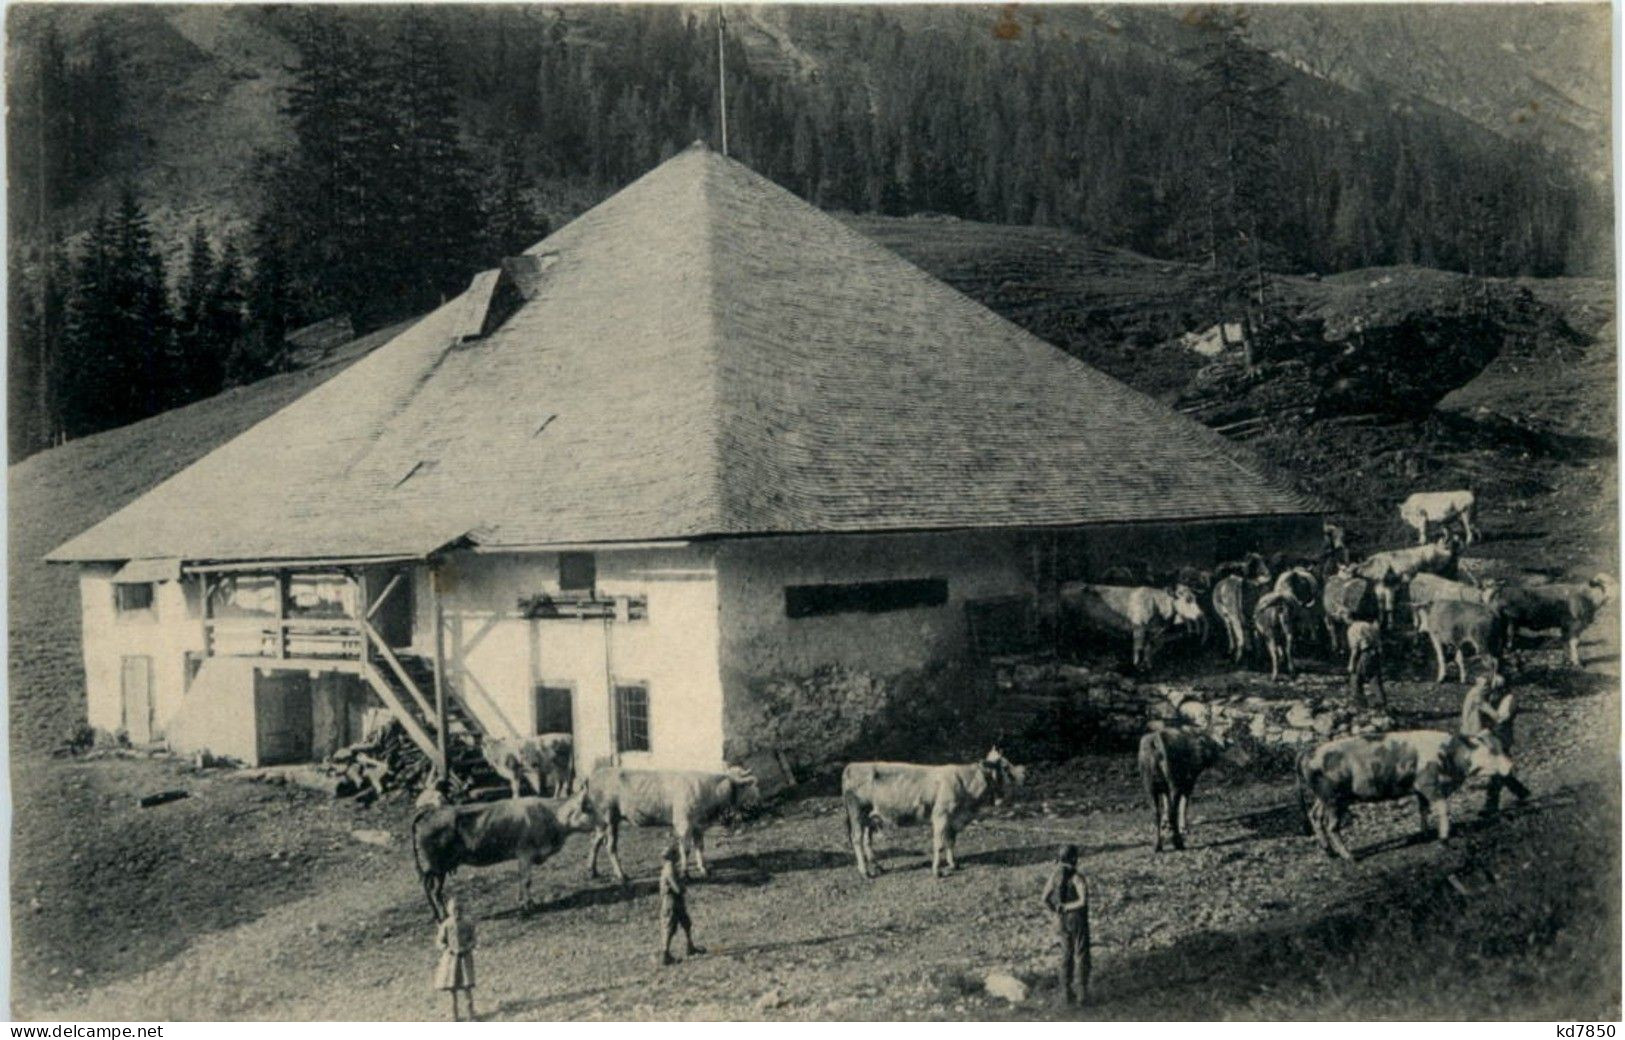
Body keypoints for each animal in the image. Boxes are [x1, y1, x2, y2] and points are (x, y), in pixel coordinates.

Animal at [409, 786, 601, 916]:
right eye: (589, 808)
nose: (604, 823)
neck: (551, 816)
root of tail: (431, 811)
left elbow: (521, 879)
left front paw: (521, 901)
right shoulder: (525, 852)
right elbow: (526, 880)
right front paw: (528, 905)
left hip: (441, 868)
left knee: (435, 891)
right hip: (435, 865)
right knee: (429, 888)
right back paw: (439, 916)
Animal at [578, 767, 760, 884]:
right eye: (746, 786)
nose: (755, 804)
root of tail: (592, 776)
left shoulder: (697, 824)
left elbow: (699, 847)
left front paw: (704, 869)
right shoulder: (683, 822)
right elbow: (685, 849)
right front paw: (685, 874)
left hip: (603, 821)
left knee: (595, 842)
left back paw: (592, 871)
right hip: (608, 817)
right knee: (610, 846)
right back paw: (621, 876)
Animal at [845, 744, 1020, 884]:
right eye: (1005, 767)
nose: (1021, 777)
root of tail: (851, 766)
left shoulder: (953, 818)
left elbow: (951, 841)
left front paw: (953, 864)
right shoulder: (941, 815)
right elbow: (939, 844)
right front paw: (937, 871)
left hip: (870, 818)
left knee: (867, 841)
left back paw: (877, 867)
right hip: (857, 814)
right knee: (857, 840)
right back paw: (865, 872)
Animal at [1053, 581, 1209, 669]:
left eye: (1195, 598)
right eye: (1187, 599)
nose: (1201, 614)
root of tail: (1065, 584)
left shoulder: (1153, 632)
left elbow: (1149, 648)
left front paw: (1148, 665)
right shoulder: (1139, 627)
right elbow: (1138, 648)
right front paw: (1136, 665)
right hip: (1069, 620)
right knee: (1067, 638)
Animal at [1293, 728, 1508, 858]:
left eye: (1501, 746)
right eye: (1492, 751)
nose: (1510, 764)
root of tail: (1308, 752)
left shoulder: (1420, 791)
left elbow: (1423, 810)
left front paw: (1424, 834)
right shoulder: (1429, 785)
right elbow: (1443, 809)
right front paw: (1444, 839)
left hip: (1323, 797)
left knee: (1315, 815)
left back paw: (1329, 852)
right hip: (1335, 798)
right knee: (1331, 825)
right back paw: (1350, 856)